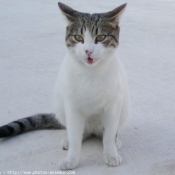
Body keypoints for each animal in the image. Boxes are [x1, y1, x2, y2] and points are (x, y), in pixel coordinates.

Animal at [0, 2, 130, 170]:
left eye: (101, 37)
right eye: (78, 37)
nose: (88, 51)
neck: (91, 73)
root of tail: (92, 129)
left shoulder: (113, 106)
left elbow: (108, 134)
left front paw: (111, 154)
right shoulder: (72, 106)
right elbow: (75, 135)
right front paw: (72, 159)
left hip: (124, 109)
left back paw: (115, 140)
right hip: (61, 107)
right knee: (80, 132)